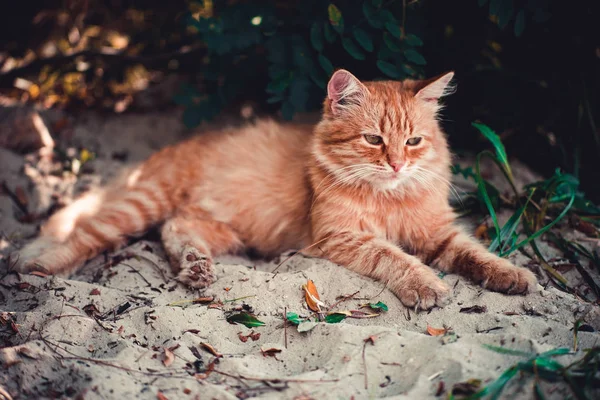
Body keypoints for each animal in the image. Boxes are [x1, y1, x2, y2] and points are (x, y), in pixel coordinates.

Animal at [10, 69, 536, 310]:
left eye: (413, 142)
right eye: (373, 140)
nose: (397, 164)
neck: (389, 197)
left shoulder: (438, 232)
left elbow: (476, 253)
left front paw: (513, 276)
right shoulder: (341, 237)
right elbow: (395, 257)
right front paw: (426, 285)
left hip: (224, 230)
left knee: (176, 230)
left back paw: (197, 268)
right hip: (142, 203)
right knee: (83, 234)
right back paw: (34, 264)